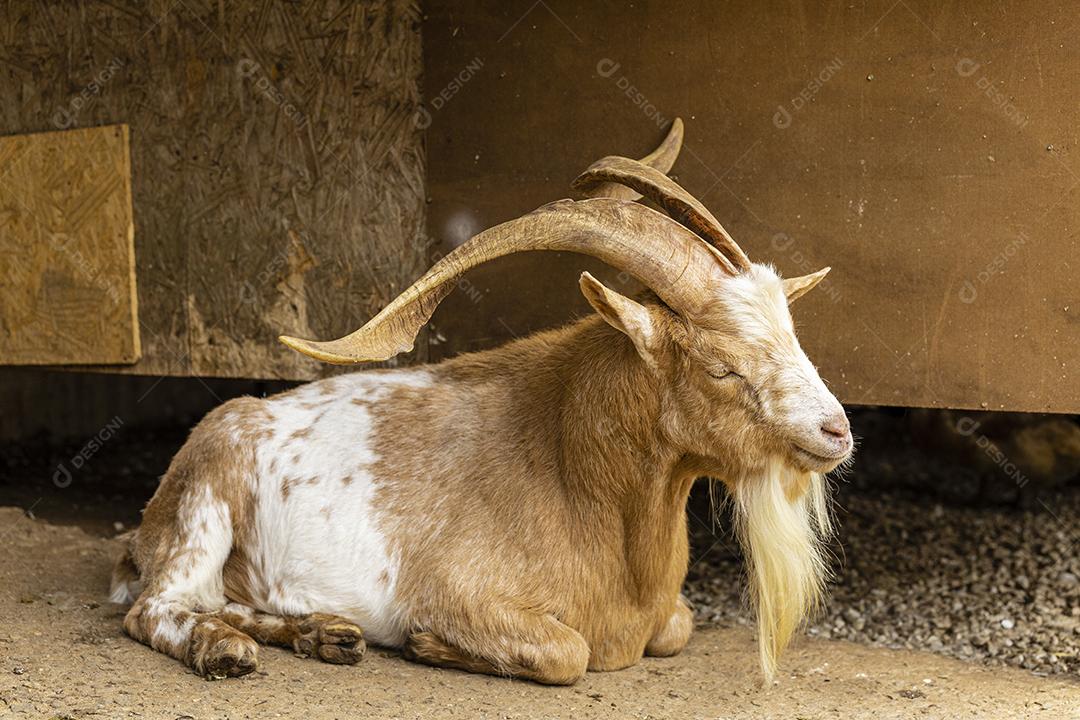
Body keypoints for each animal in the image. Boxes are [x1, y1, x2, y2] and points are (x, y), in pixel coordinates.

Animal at [112, 119, 852, 683]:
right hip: (204, 508)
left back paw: (325, 634)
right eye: (721, 368)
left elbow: (679, 625)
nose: (837, 431)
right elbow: (568, 652)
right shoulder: (461, 594)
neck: (573, 474)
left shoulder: (667, 616)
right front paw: (424, 642)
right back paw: (225, 649)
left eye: (792, 332)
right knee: (155, 607)